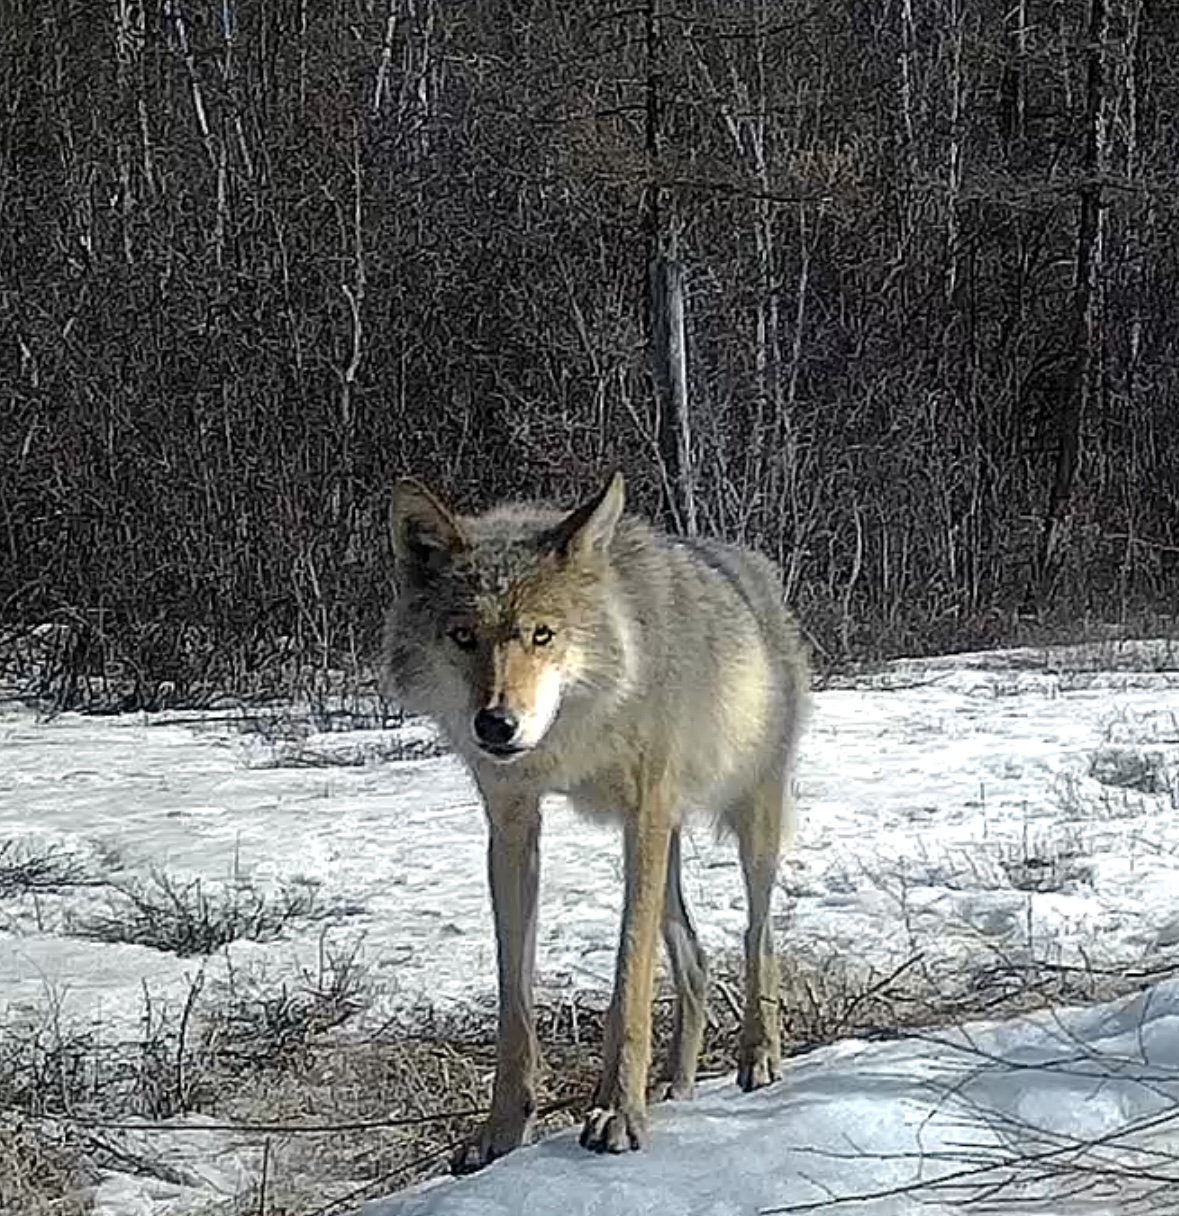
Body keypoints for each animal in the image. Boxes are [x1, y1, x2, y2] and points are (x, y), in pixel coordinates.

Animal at [381, 471, 802, 1167]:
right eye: (463, 636)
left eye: (542, 635)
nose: (495, 724)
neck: (574, 732)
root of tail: (751, 566)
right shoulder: (512, 827)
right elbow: (514, 1007)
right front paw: (501, 1135)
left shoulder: (644, 812)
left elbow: (628, 986)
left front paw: (617, 1114)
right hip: (667, 845)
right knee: (695, 960)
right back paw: (677, 1087)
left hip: (747, 826)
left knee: (757, 936)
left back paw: (759, 1055)